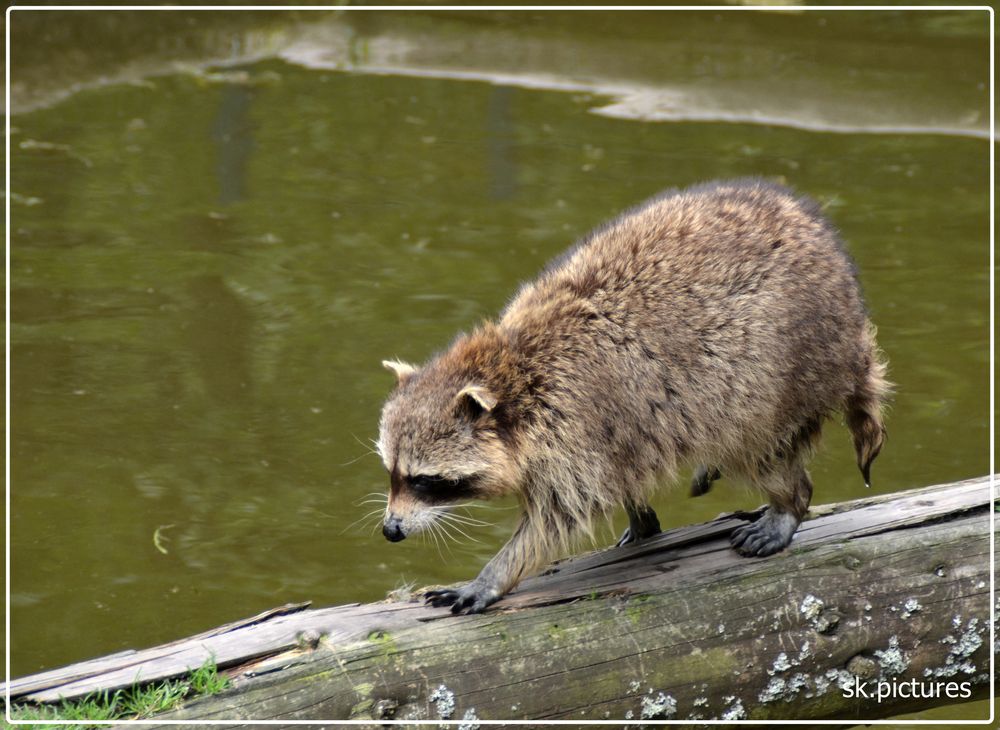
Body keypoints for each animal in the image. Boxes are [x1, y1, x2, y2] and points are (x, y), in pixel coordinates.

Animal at [376, 179, 892, 612]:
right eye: (393, 473)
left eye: (425, 481)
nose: (390, 530)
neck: (514, 371)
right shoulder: (606, 432)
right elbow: (620, 472)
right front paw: (640, 515)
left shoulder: (575, 423)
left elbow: (556, 519)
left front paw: (493, 575)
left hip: (777, 371)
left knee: (760, 445)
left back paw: (790, 502)